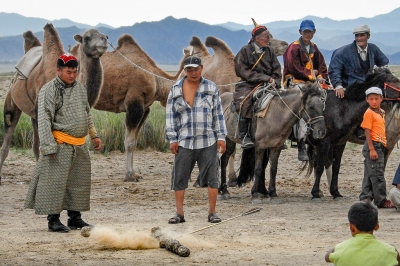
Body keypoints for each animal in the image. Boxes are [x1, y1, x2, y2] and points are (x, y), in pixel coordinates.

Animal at [0, 24, 108, 183]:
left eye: (105, 35)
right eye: (87, 37)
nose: (104, 40)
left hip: (33, 113)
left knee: (35, 144)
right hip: (13, 102)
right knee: (9, 132)